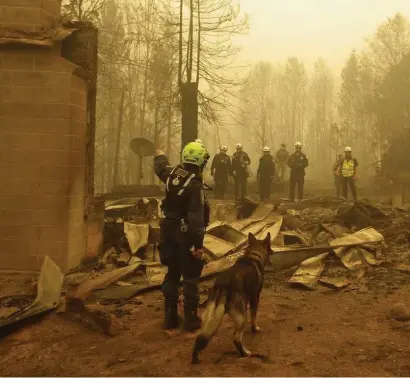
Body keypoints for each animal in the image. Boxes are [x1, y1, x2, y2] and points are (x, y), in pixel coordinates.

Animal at [192, 230, 272, 364]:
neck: (254, 254)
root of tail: (222, 285)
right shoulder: (255, 299)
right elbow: (254, 317)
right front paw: (255, 329)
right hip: (242, 318)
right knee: (236, 339)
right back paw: (245, 354)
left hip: (209, 317)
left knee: (201, 337)